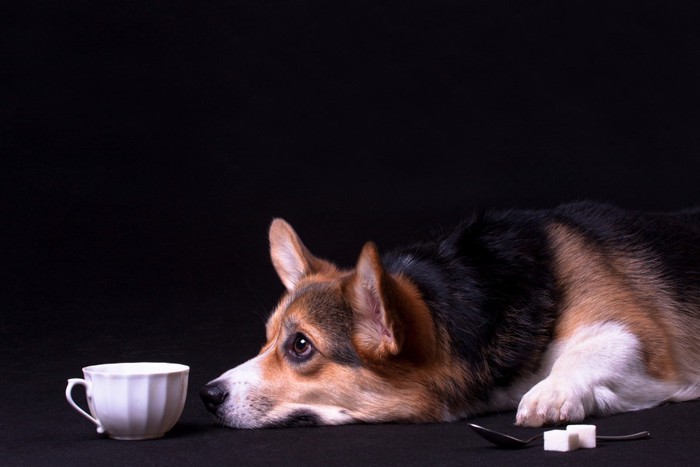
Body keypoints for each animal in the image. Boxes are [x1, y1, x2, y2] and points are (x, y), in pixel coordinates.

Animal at [201, 203, 700, 430]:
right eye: (266, 340)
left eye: (301, 345)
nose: (207, 395)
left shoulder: (644, 341)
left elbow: (594, 349)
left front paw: (551, 393)